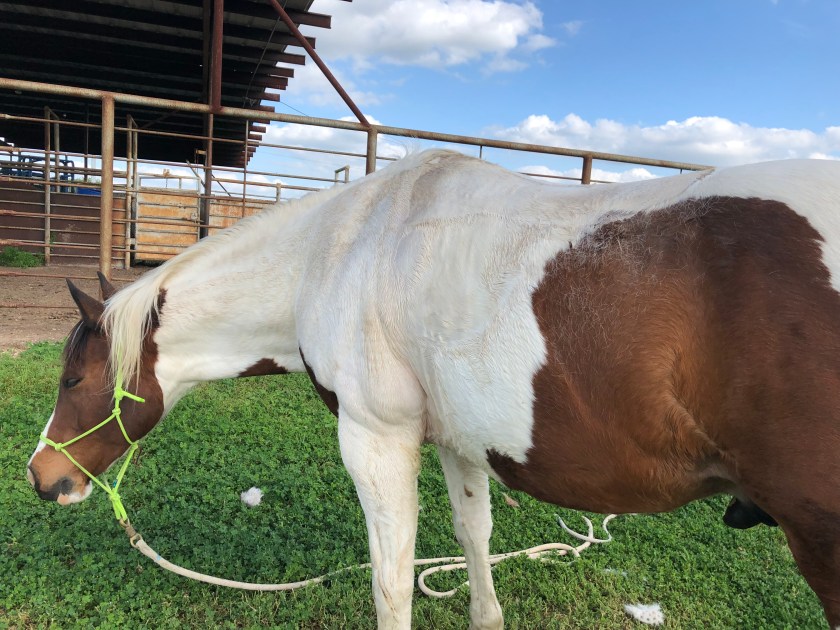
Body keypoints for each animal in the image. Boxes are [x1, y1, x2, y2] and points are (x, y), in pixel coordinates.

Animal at [26, 149, 840, 628]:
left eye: (74, 377)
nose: (43, 477)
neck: (342, 250)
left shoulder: (375, 440)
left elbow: (390, 583)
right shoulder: (458, 441)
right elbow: (472, 538)